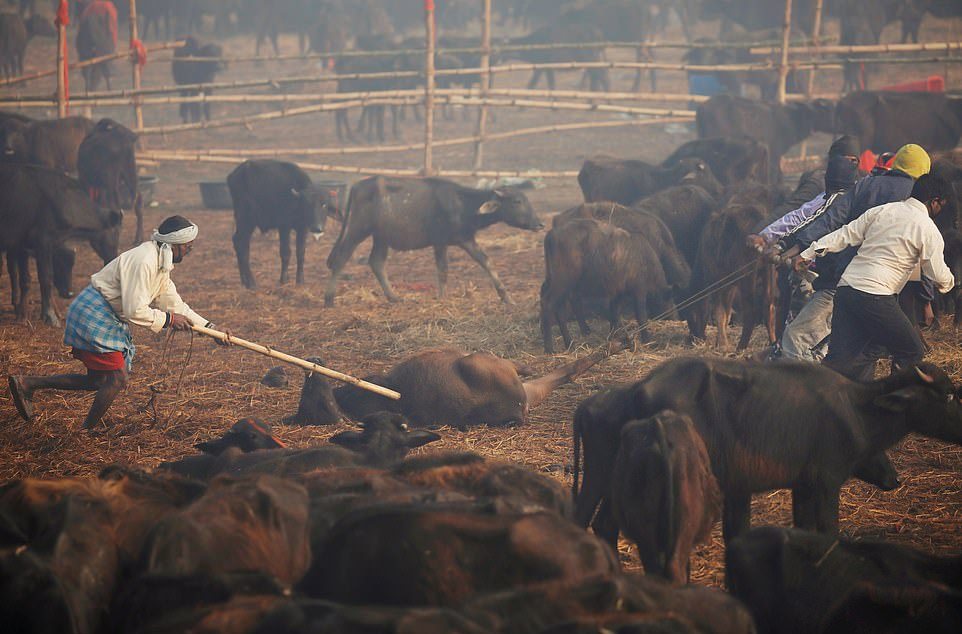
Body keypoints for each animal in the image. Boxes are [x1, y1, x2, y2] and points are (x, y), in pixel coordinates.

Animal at [226, 159, 338, 288]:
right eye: (307, 204)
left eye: (324, 204)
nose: (317, 228)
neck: (294, 202)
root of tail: (234, 175)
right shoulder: (284, 227)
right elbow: (285, 252)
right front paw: (284, 280)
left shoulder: (303, 228)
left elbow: (301, 253)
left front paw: (300, 280)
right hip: (246, 219)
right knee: (241, 244)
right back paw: (251, 283)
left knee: (239, 242)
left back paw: (244, 281)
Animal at [326, 177, 544, 304]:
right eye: (517, 201)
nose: (540, 223)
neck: (462, 204)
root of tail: (356, 187)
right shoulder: (440, 242)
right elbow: (443, 269)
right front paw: (442, 297)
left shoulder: (466, 238)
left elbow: (487, 262)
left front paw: (507, 298)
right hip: (357, 229)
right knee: (341, 258)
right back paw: (329, 299)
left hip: (381, 236)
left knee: (376, 262)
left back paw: (394, 297)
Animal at [568, 356, 952, 544]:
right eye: (948, 395)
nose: (895, 478)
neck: (855, 406)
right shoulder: (823, 482)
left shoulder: (758, 487)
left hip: (601, 479)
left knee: (591, 520)